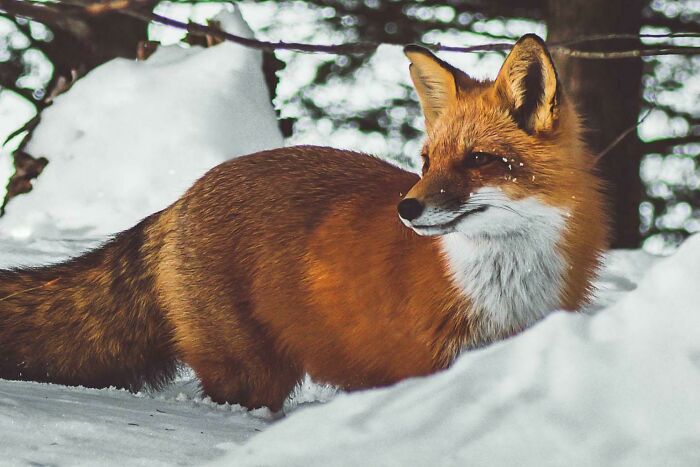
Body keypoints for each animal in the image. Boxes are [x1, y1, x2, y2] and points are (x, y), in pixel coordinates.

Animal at [0, 34, 607, 411]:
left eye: (478, 159)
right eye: (427, 161)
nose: (407, 209)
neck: (501, 290)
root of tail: (183, 196)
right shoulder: (419, 367)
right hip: (252, 373)